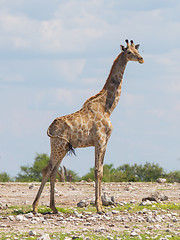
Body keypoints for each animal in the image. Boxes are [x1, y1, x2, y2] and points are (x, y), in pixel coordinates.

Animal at [33, 39, 144, 214]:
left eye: (137, 50)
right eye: (129, 52)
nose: (141, 59)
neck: (107, 108)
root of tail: (50, 127)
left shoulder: (105, 142)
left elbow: (101, 171)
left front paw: (100, 205)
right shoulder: (99, 140)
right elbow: (97, 171)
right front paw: (99, 207)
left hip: (63, 147)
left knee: (54, 171)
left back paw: (54, 207)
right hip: (57, 145)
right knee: (47, 170)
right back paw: (35, 207)